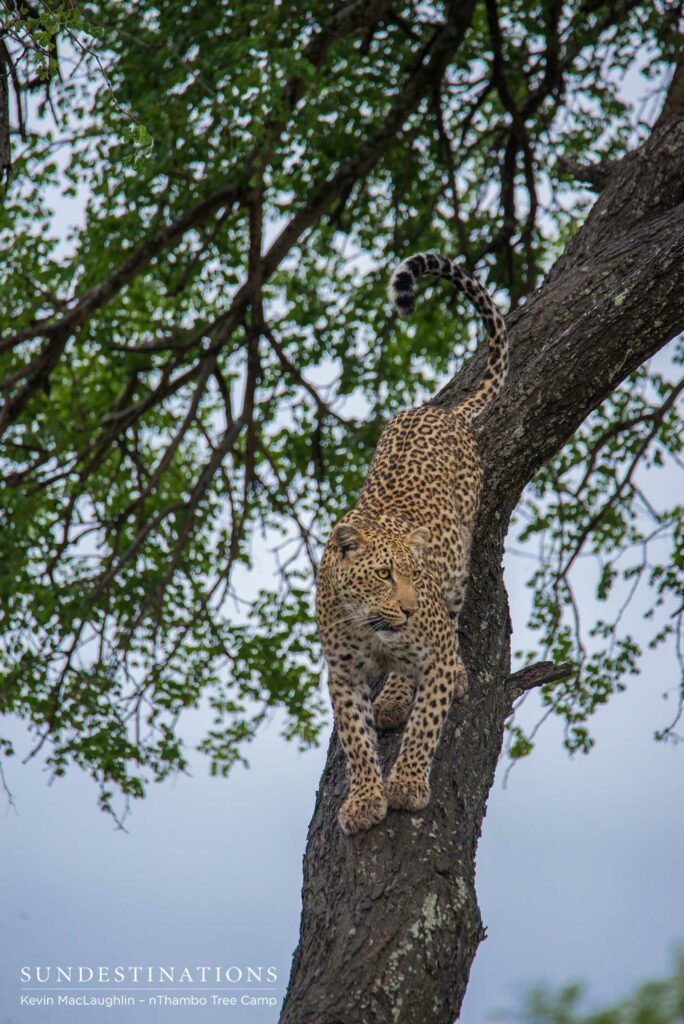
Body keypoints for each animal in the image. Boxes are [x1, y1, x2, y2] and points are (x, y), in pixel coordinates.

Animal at [315, 251, 509, 835]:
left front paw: (405, 784)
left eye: (412, 574)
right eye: (383, 574)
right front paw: (363, 799)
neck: (370, 624)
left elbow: (427, 722)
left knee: (449, 623)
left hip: (459, 565)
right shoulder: (342, 675)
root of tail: (436, 410)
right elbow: (355, 741)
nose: (406, 607)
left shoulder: (436, 653)